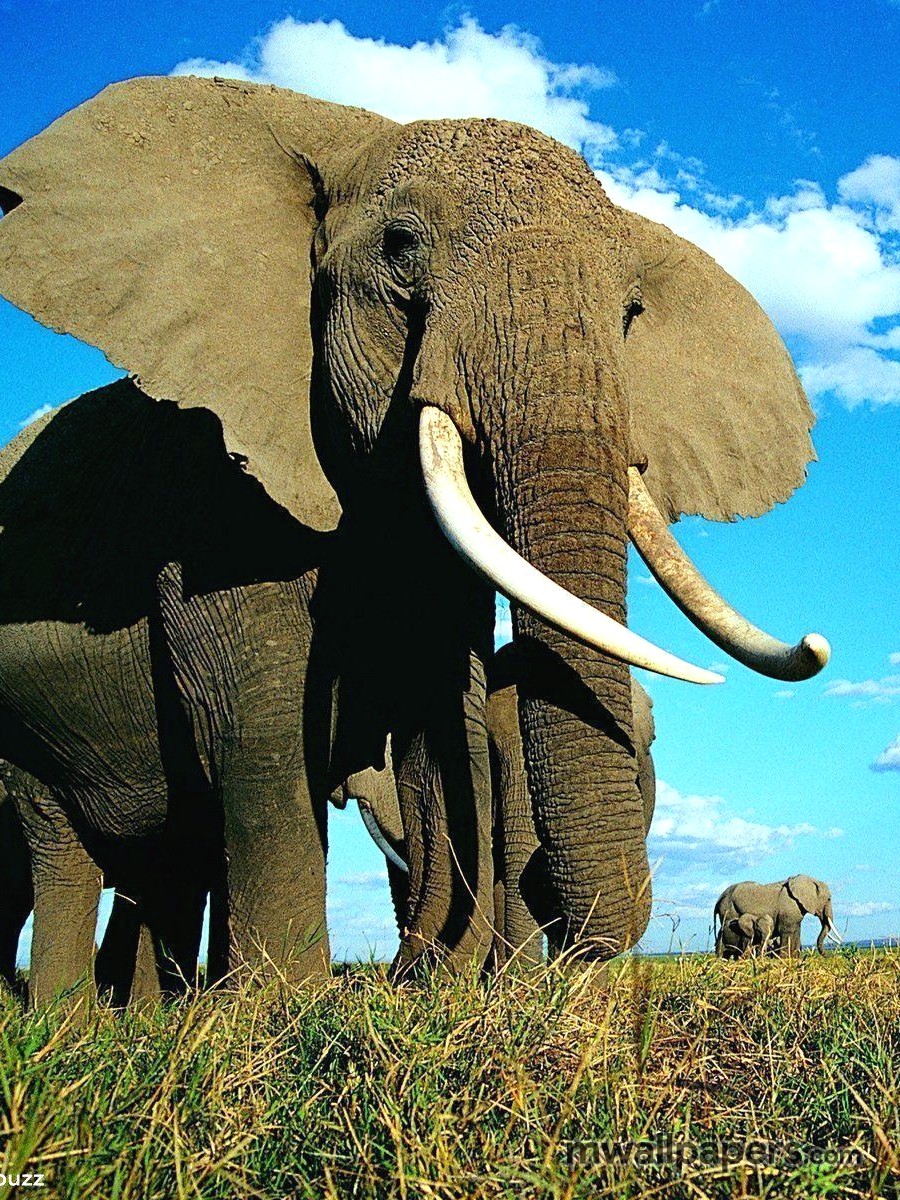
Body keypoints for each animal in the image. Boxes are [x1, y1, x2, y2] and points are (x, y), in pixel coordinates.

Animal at [0, 74, 830, 976]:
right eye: (399, 249)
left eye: (633, 311)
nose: (816, 641)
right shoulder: (207, 498)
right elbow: (261, 734)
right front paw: (288, 1003)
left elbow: (440, 706)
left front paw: (438, 983)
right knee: (66, 850)